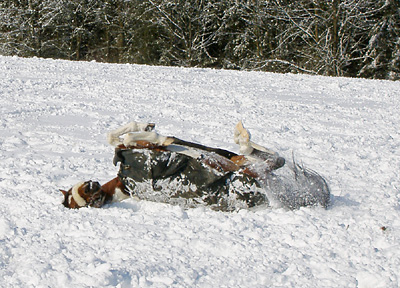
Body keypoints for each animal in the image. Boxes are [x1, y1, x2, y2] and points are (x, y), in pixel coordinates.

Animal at [61, 120, 332, 210]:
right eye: (89, 196)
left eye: (84, 187)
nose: (93, 184)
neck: (123, 185)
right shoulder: (152, 150)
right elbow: (130, 139)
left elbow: (116, 136)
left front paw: (145, 126)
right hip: (248, 168)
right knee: (272, 159)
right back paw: (242, 138)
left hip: (241, 161)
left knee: (270, 156)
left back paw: (241, 136)